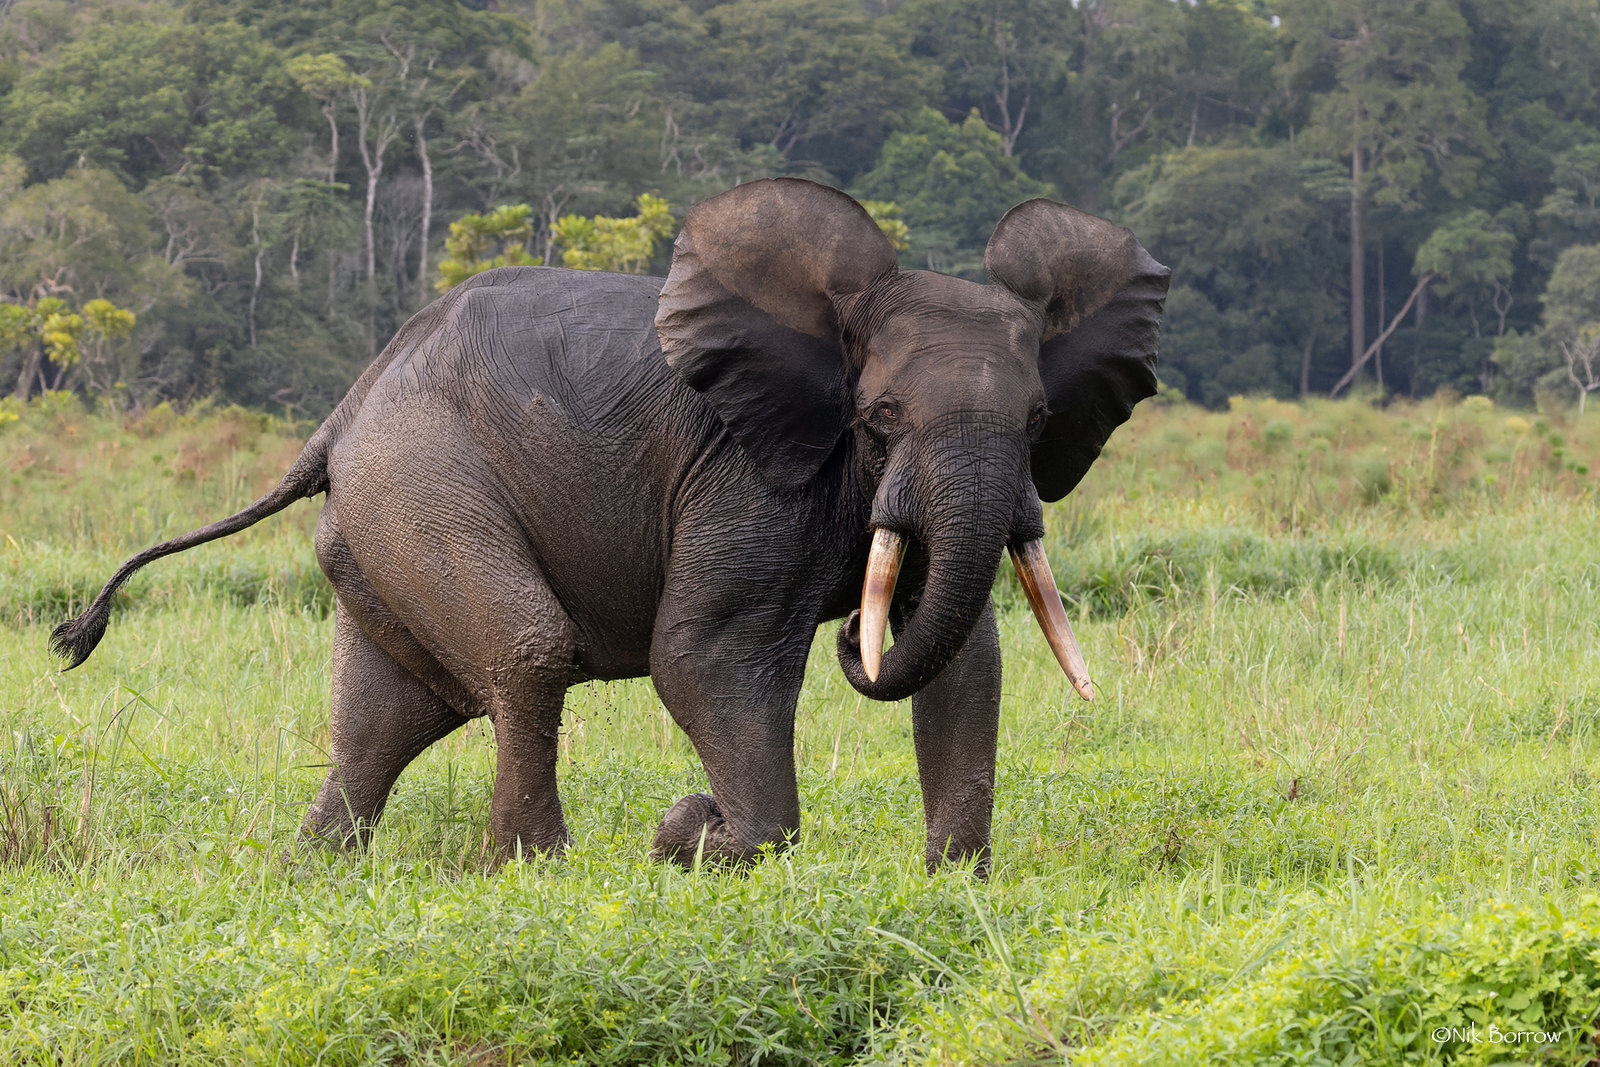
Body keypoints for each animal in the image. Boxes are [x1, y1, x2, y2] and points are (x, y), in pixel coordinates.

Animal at [52, 179, 1168, 872]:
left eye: (1039, 420)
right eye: (883, 415)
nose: (857, 633)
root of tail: (345, 407)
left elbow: (967, 658)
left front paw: (950, 885)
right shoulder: (744, 476)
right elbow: (707, 654)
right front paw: (692, 838)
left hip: (379, 516)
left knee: (389, 715)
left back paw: (316, 870)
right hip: (419, 477)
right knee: (523, 653)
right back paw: (535, 868)